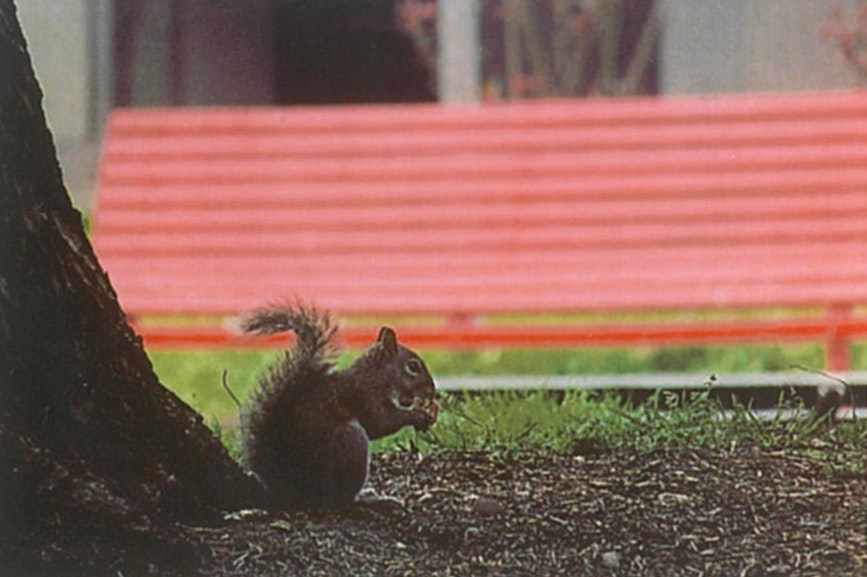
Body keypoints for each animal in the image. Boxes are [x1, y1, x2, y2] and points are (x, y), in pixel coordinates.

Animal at [237, 304, 439, 510]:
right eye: (412, 366)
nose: (432, 391)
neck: (376, 376)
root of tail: (295, 493)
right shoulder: (365, 396)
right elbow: (381, 422)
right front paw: (418, 415)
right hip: (351, 442)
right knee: (341, 501)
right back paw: (370, 499)